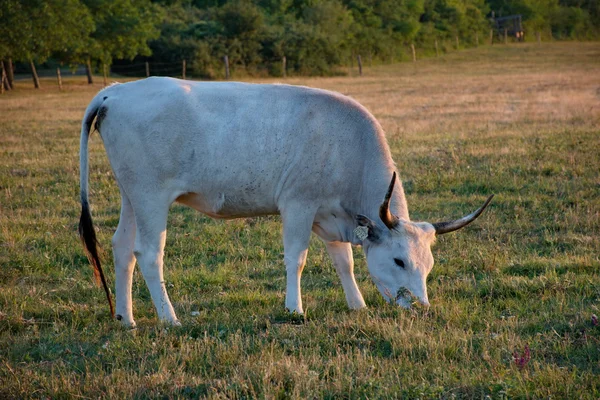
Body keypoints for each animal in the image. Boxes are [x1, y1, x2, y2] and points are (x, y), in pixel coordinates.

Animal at [79, 76, 492, 326]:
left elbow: (344, 261)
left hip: (131, 194)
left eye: (429, 265)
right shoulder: (298, 204)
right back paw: (170, 319)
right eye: (399, 260)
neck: (346, 145)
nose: (422, 308)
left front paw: (356, 305)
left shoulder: (330, 215)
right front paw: (295, 309)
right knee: (149, 253)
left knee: (121, 248)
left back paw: (126, 319)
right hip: (151, 196)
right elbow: (297, 258)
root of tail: (116, 91)